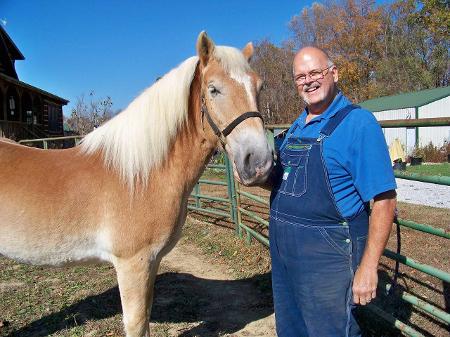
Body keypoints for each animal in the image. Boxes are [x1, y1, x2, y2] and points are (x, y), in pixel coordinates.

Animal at [0, 32, 272, 336]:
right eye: (213, 89)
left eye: (259, 86)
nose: (259, 161)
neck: (140, 177)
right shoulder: (133, 264)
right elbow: (137, 324)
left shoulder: (152, 263)